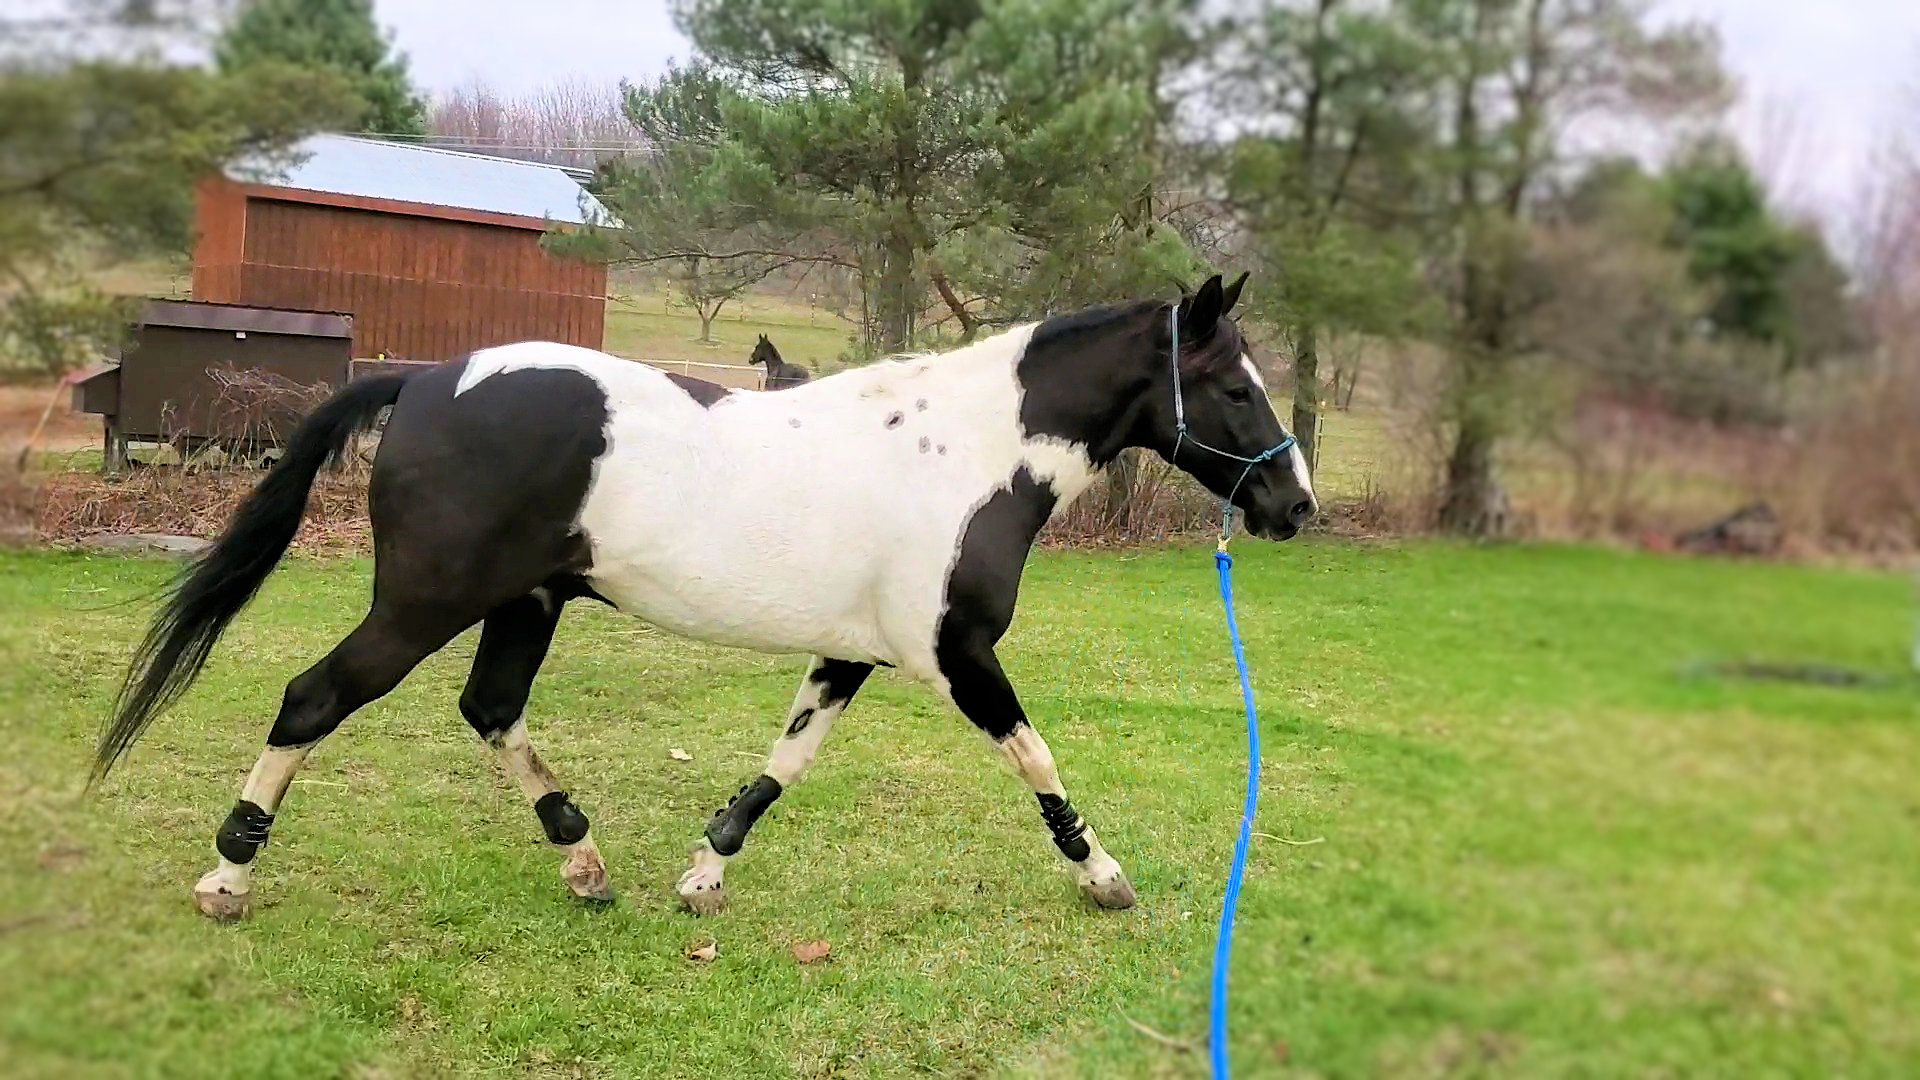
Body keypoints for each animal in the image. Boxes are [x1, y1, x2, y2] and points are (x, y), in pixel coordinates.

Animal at [91, 271, 1316, 921]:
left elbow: (785, 762)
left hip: (526, 602)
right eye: (1230, 385)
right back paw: (226, 875)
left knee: (491, 710)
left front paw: (703, 870)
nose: (1295, 504)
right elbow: (1038, 759)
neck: (969, 454)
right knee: (312, 700)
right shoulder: (955, 655)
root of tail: (429, 379)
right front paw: (1104, 875)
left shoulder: (853, 652)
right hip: (421, 608)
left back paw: (584, 860)